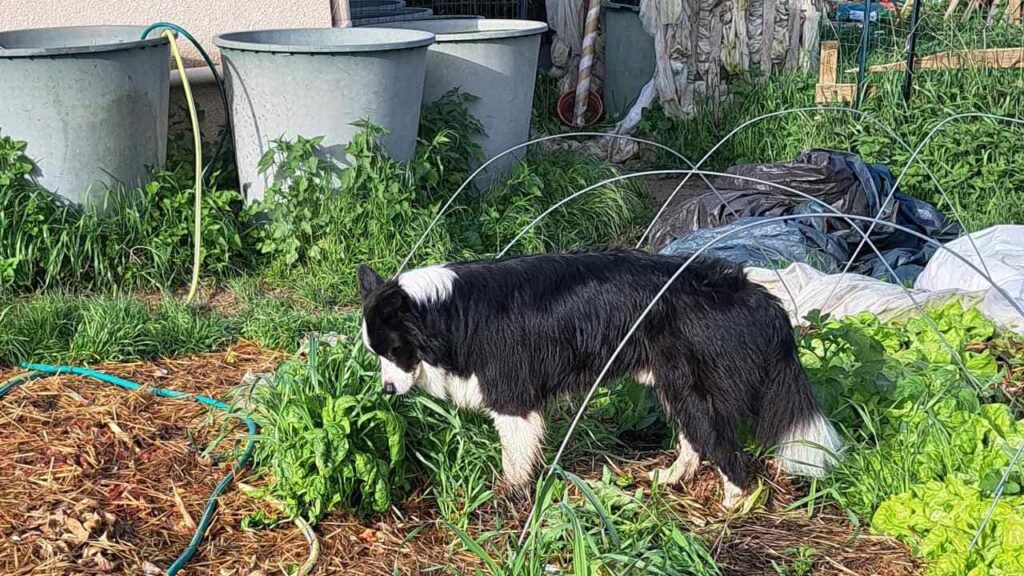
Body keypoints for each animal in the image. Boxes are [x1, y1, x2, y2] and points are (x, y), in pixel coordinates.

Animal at [358, 249, 839, 504]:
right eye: (375, 353)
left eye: (394, 351)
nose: (386, 390)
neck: (444, 313)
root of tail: (758, 296)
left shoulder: (513, 398)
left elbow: (514, 460)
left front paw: (508, 498)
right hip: (676, 384)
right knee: (696, 439)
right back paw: (671, 478)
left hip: (699, 388)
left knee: (725, 450)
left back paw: (732, 508)